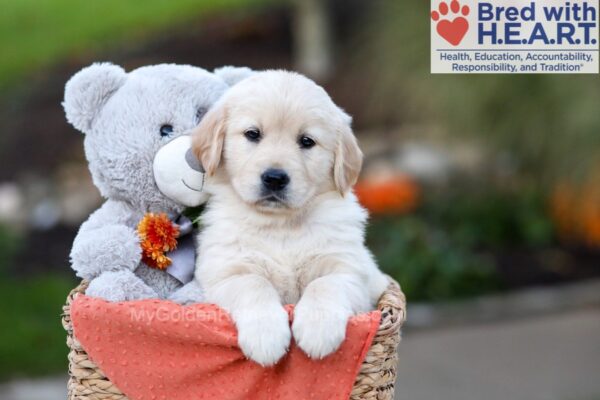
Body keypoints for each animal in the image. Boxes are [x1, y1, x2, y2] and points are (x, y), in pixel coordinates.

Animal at [192, 71, 390, 366]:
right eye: (253, 134)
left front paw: (318, 330)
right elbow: (255, 283)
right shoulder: (226, 272)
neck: (281, 225)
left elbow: (324, 284)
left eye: (307, 141)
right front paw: (266, 336)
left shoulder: (350, 271)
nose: (275, 178)